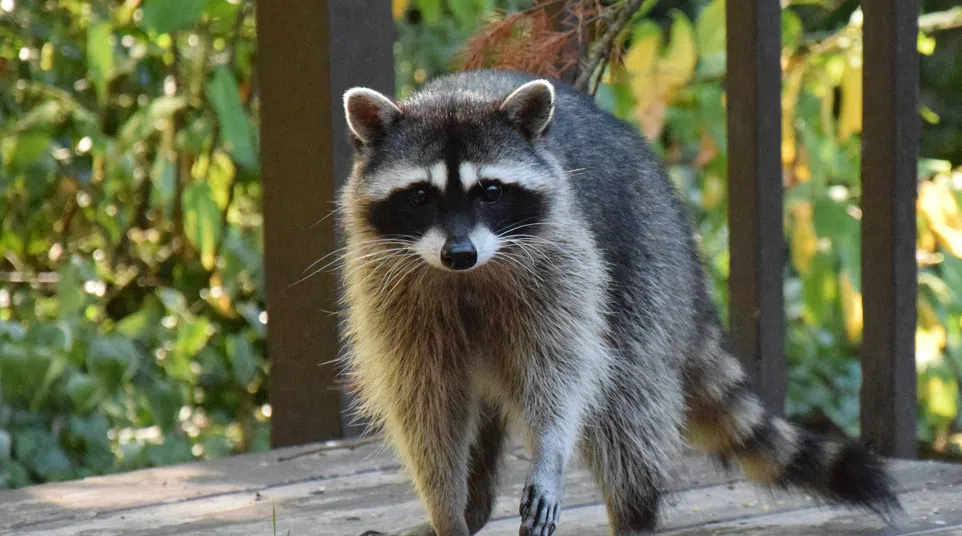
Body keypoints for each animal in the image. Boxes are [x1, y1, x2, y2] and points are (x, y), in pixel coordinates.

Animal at [336, 70, 898, 536]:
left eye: (490, 192)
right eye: (420, 196)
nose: (459, 254)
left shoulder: (563, 263)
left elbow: (562, 373)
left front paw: (550, 451)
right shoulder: (390, 288)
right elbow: (424, 402)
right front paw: (444, 507)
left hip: (643, 267)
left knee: (625, 401)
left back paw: (634, 511)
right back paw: (474, 507)